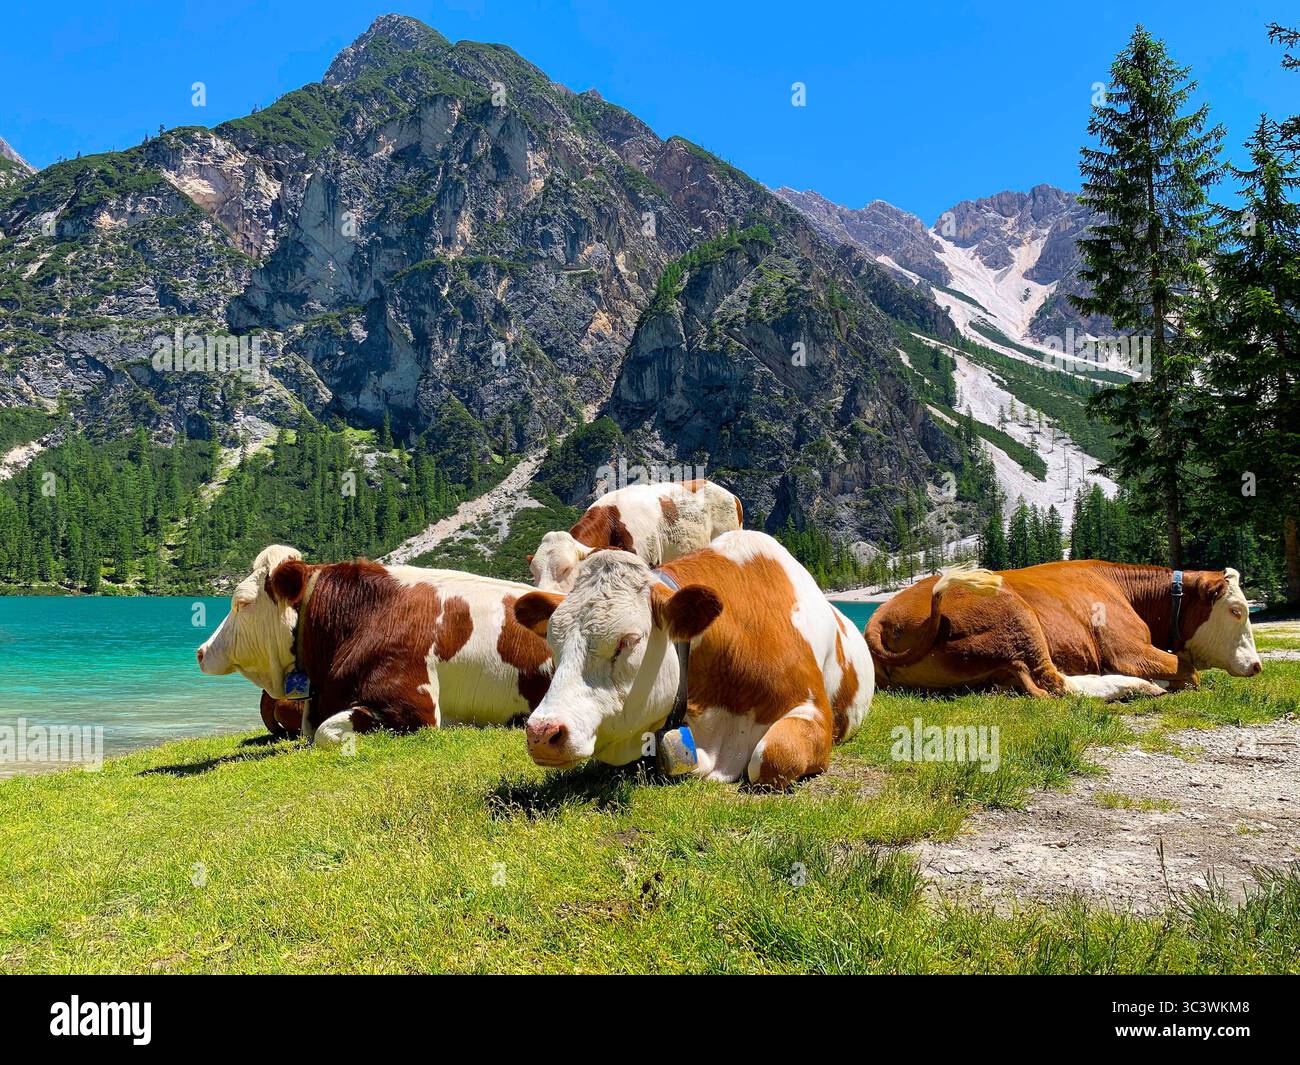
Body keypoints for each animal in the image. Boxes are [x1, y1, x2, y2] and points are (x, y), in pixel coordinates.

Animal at [865, 560, 1262, 701]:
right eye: (1236, 610)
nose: (1257, 665)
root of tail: (878, 620)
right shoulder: (1128, 650)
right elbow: (1191, 672)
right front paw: (1161, 679)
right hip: (1017, 614)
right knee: (1055, 683)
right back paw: (1138, 686)